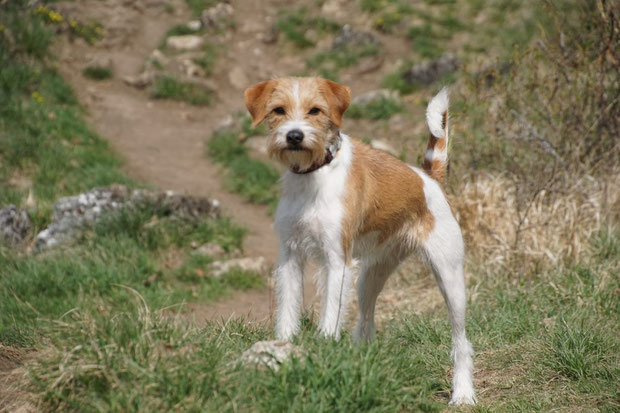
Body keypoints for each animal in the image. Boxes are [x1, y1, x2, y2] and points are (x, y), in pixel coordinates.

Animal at [245, 75, 478, 404]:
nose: (294, 136)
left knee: (461, 341)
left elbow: (330, 317)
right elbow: (287, 313)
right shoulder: (290, 257)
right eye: (278, 110)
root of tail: (428, 177)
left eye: (315, 110)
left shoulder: (336, 261)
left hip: (450, 278)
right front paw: (283, 347)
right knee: (366, 324)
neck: (314, 175)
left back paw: (463, 393)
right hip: (370, 277)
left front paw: (323, 354)